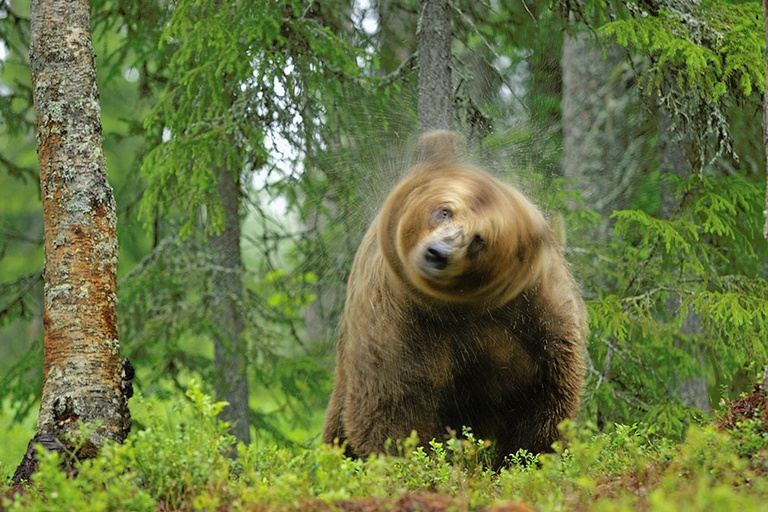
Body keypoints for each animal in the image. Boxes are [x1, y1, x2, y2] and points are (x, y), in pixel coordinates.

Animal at [320, 132, 584, 468]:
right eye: (445, 210)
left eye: (479, 239)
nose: (438, 253)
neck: (459, 307)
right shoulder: (402, 320)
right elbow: (396, 400)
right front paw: (413, 459)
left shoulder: (534, 311)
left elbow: (545, 392)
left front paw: (526, 458)